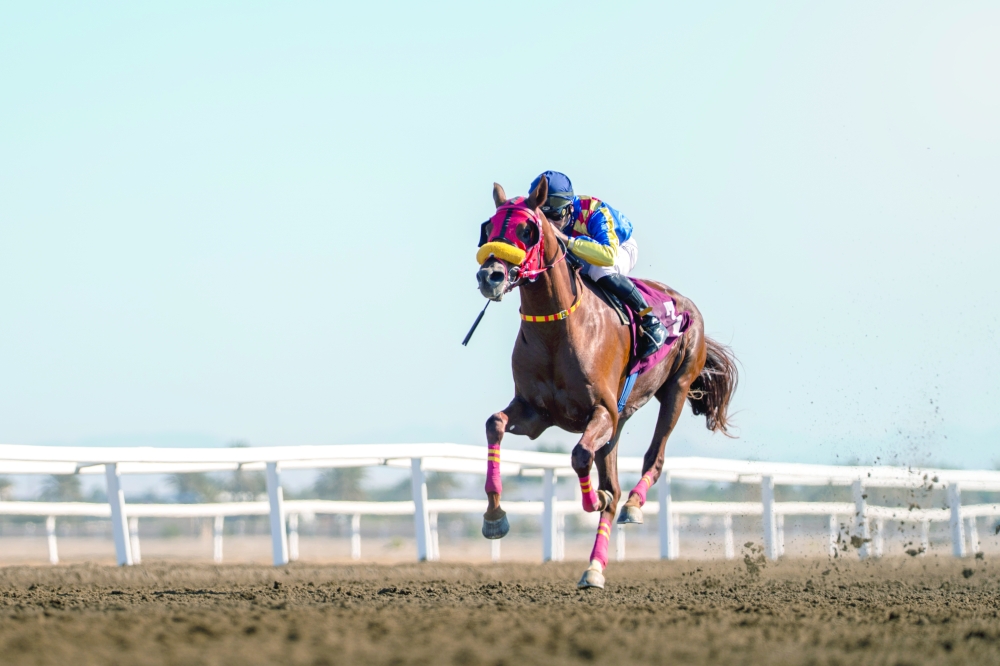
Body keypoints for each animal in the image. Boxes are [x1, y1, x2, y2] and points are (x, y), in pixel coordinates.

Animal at [475, 175, 738, 589]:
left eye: (527, 229)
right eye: (489, 227)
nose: (490, 276)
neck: (557, 331)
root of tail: (686, 304)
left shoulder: (600, 411)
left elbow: (581, 457)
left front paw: (592, 499)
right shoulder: (535, 414)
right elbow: (495, 424)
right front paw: (494, 517)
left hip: (675, 389)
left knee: (652, 460)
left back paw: (633, 505)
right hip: (620, 419)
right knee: (613, 482)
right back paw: (593, 568)